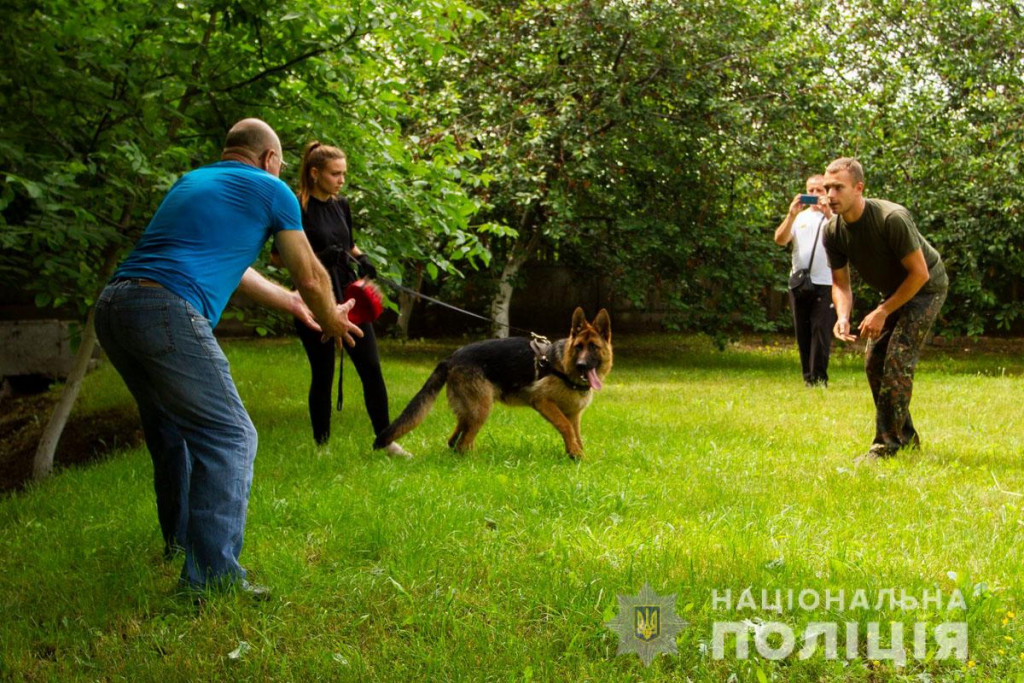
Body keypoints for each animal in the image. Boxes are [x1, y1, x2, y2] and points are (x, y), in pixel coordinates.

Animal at [374, 309, 606, 458]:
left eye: (593, 347)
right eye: (578, 347)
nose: (582, 364)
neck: (564, 366)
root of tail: (452, 357)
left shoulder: (574, 414)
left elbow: (576, 434)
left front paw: (576, 454)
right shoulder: (542, 401)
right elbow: (566, 427)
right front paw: (575, 454)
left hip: (470, 410)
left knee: (454, 440)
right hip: (482, 409)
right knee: (463, 444)